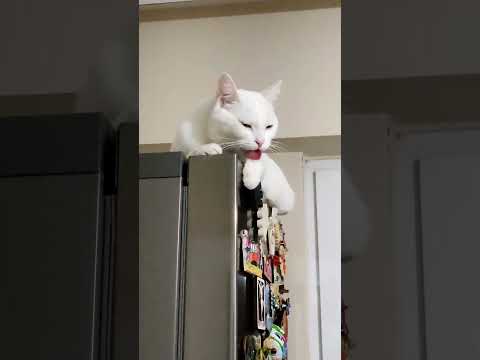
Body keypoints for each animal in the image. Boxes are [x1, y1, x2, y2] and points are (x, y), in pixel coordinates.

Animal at [171, 73, 294, 214]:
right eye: (245, 125)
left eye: (269, 126)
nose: (261, 142)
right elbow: (189, 149)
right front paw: (205, 148)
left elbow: (260, 161)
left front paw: (251, 177)